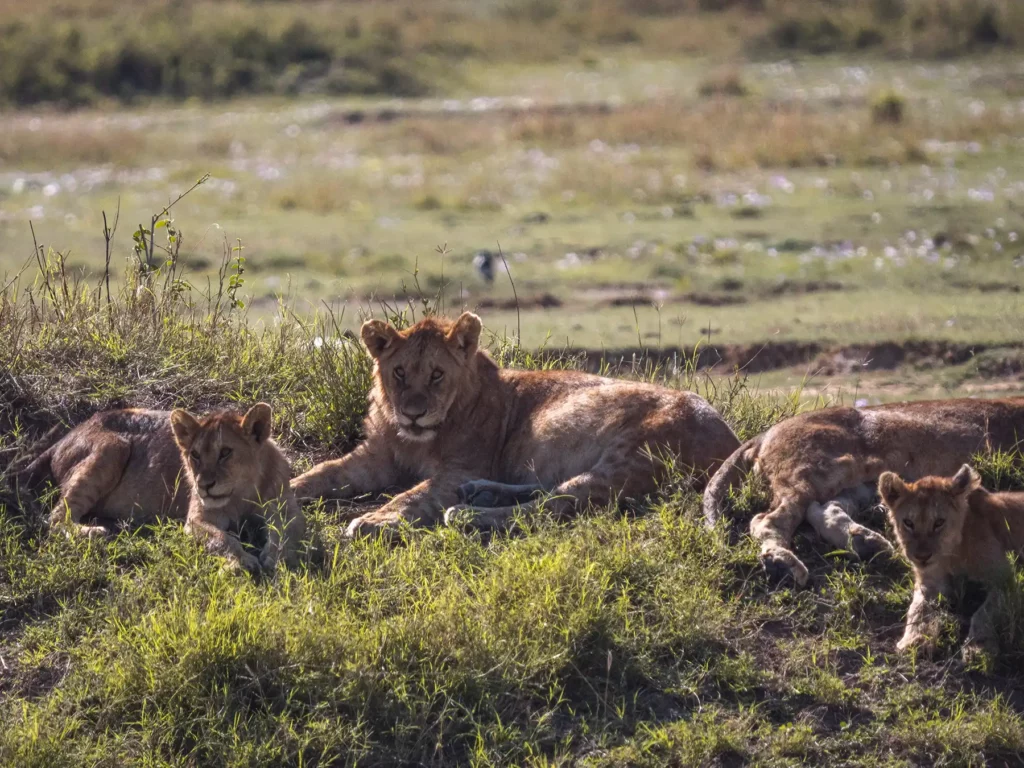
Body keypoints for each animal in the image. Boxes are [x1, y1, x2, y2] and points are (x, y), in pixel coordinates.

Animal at [24, 404, 303, 572]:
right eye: (195, 455)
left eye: (225, 452)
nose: (203, 486)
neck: (243, 493)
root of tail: (65, 436)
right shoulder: (196, 520)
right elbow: (225, 539)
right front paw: (242, 561)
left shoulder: (286, 508)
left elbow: (288, 532)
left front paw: (278, 557)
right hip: (113, 446)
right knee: (56, 518)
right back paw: (93, 532)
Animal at [291, 311, 741, 537]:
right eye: (399, 372)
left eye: (436, 374)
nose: (413, 413)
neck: (416, 439)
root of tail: (731, 440)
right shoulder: (374, 456)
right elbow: (322, 472)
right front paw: (286, 488)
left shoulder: (461, 467)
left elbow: (412, 495)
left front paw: (373, 521)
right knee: (548, 490)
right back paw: (481, 495)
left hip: (628, 458)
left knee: (554, 505)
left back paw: (467, 514)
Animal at [702, 398, 1024, 587]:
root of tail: (766, 432)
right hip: (817, 468)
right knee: (769, 519)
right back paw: (783, 563)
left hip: (857, 480)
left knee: (822, 509)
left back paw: (866, 543)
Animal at [879, 464, 1024, 658]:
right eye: (908, 523)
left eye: (939, 522)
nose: (922, 557)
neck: (953, 554)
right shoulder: (931, 583)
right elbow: (918, 609)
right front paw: (914, 640)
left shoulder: (1005, 580)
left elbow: (984, 612)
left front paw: (978, 646)